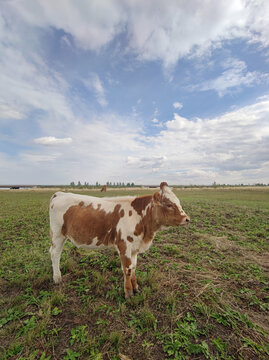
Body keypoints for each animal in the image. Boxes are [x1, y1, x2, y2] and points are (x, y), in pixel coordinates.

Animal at [49, 183, 189, 298]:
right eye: (169, 205)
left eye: (178, 202)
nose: (187, 219)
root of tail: (59, 193)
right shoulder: (124, 245)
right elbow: (127, 269)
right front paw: (128, 292)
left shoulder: (135, 248)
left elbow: (133, 267)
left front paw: (136, 287)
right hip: (57, 235)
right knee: (55, 254)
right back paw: (57, 278)